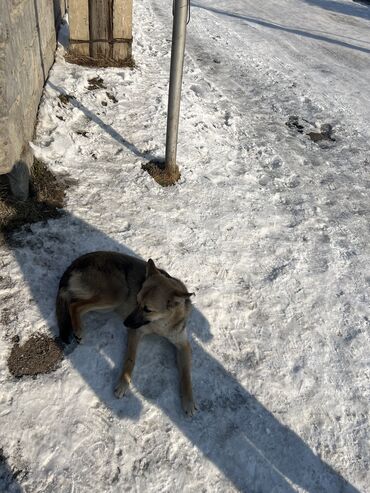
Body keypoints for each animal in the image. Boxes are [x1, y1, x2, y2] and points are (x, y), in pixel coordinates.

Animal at [55, 252, 197, 414]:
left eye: (147, 309)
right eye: (137, 301)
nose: (125, 323)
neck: (160, 324)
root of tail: (79, 260)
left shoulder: (183, 345)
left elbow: (186, 374)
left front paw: (189, 401)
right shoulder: (135, 333)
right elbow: (130, 359)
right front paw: (123, 384)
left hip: (110, 303)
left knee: (74, 302)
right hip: (118, 294)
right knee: (75, 305)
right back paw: (79, 330)